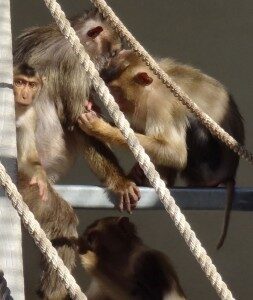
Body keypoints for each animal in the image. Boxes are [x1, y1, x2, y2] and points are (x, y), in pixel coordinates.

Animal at [13, 62, 78, 298]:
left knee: (62, 220)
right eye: (19, 82)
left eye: (31, 85)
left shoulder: (30, 113)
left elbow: (29, 157)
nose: (25, 94)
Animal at [79, 49, 245, 248]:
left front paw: (99, 127)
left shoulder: (159, 104)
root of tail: (229, 174)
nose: (116, 102)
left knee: (189, 123)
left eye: (117, 91)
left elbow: (175, 153)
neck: (153, 86)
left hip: (206, 169)